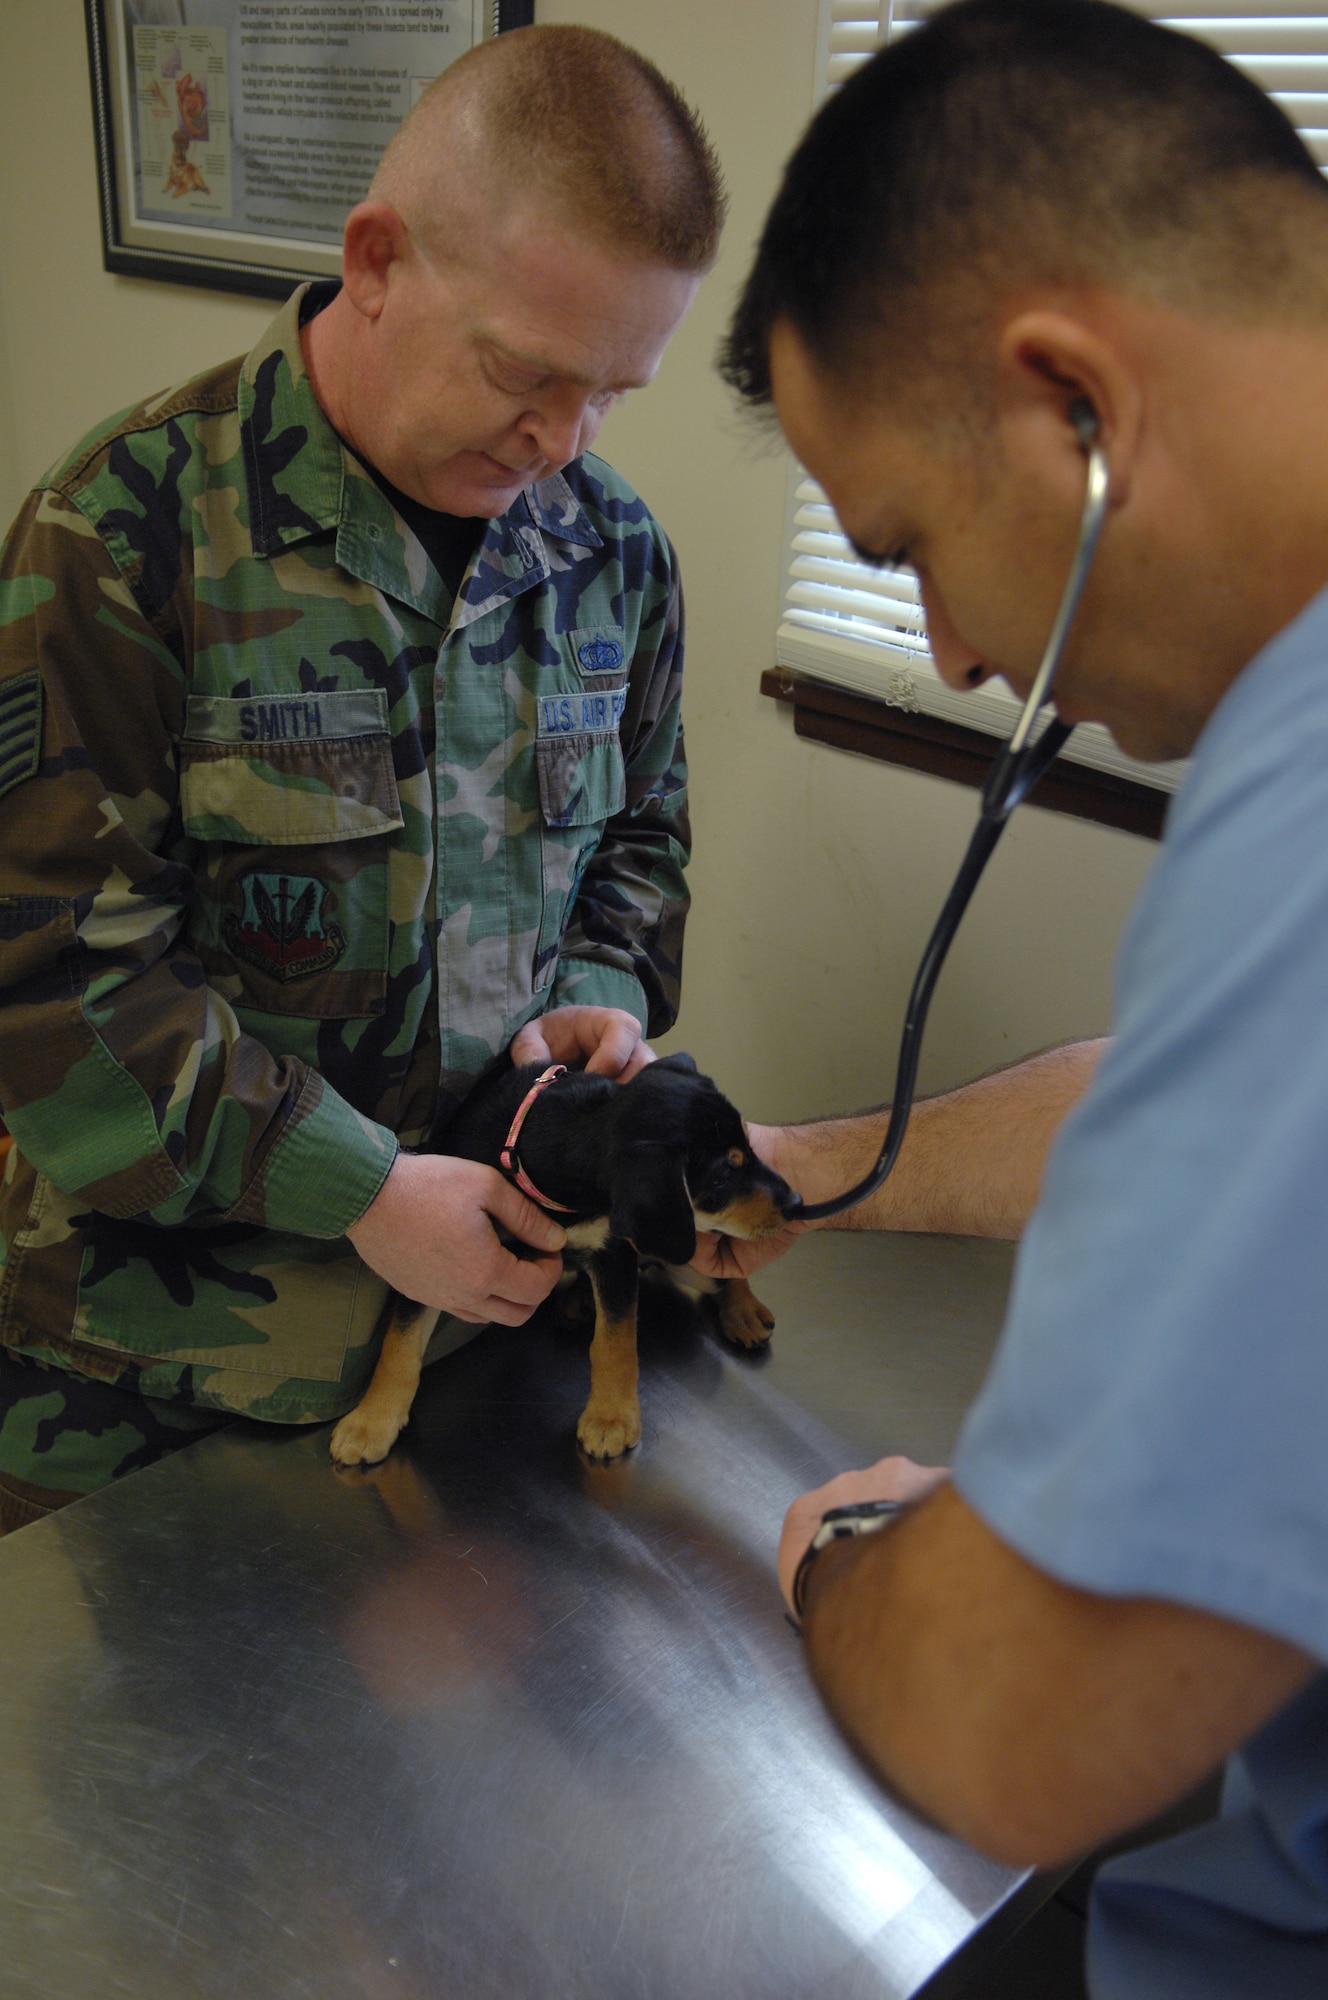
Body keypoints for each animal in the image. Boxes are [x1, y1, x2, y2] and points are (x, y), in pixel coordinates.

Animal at [334, 1064, 800, 1472]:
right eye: (721, 1177)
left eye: (751, 1149)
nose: (796, 1202)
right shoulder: (438, 1258)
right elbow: (399, 1344)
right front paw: (370, 1423)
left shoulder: (613, 1254)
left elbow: (615, 1345)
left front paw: (611, 1419)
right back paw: (579, 1302)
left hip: (680, 1253)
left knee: (726, 1268)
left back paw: (744, 1312)